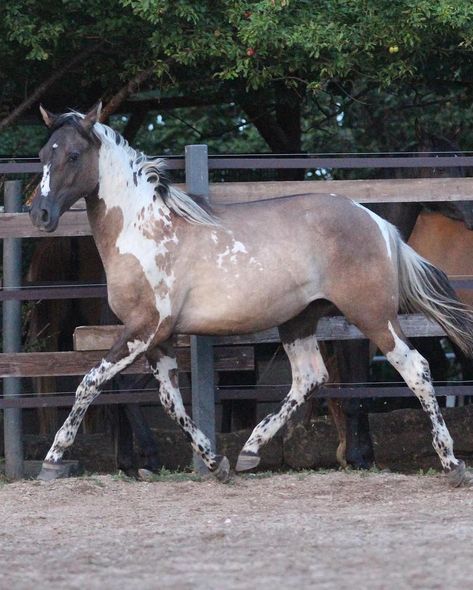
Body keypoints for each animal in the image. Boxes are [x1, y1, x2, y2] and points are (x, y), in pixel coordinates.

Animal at [29, 104, 472, 488]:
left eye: (73, 155)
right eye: (43, 154)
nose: (40, 215)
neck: (143, 230)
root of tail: (378, 223)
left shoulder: (144, 328)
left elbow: (89, 382)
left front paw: (53, 459)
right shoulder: (157, 338)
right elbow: (171, 402)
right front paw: (215, 462)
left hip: (372, 314)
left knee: (415, 368)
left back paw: (452, 464)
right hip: (300, 319)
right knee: (310, 376)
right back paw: (248, 451)